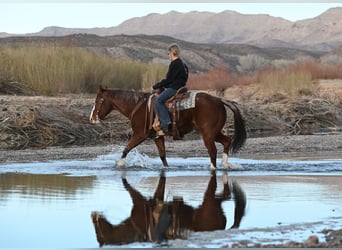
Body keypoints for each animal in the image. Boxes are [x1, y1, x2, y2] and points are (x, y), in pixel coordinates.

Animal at [89, 86, 247, 170]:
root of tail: (219, 100)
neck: (137, 106)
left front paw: (120, 164)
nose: (91, 118)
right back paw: (226, 164)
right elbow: (163, 156)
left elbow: (126, 148)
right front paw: (167, 168)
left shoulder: (140, 134)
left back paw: (213, 168)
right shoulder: (158, 137)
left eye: (97, 101)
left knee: (212, 151)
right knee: (227, 141)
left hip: (207, 134)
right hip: (214, 132)